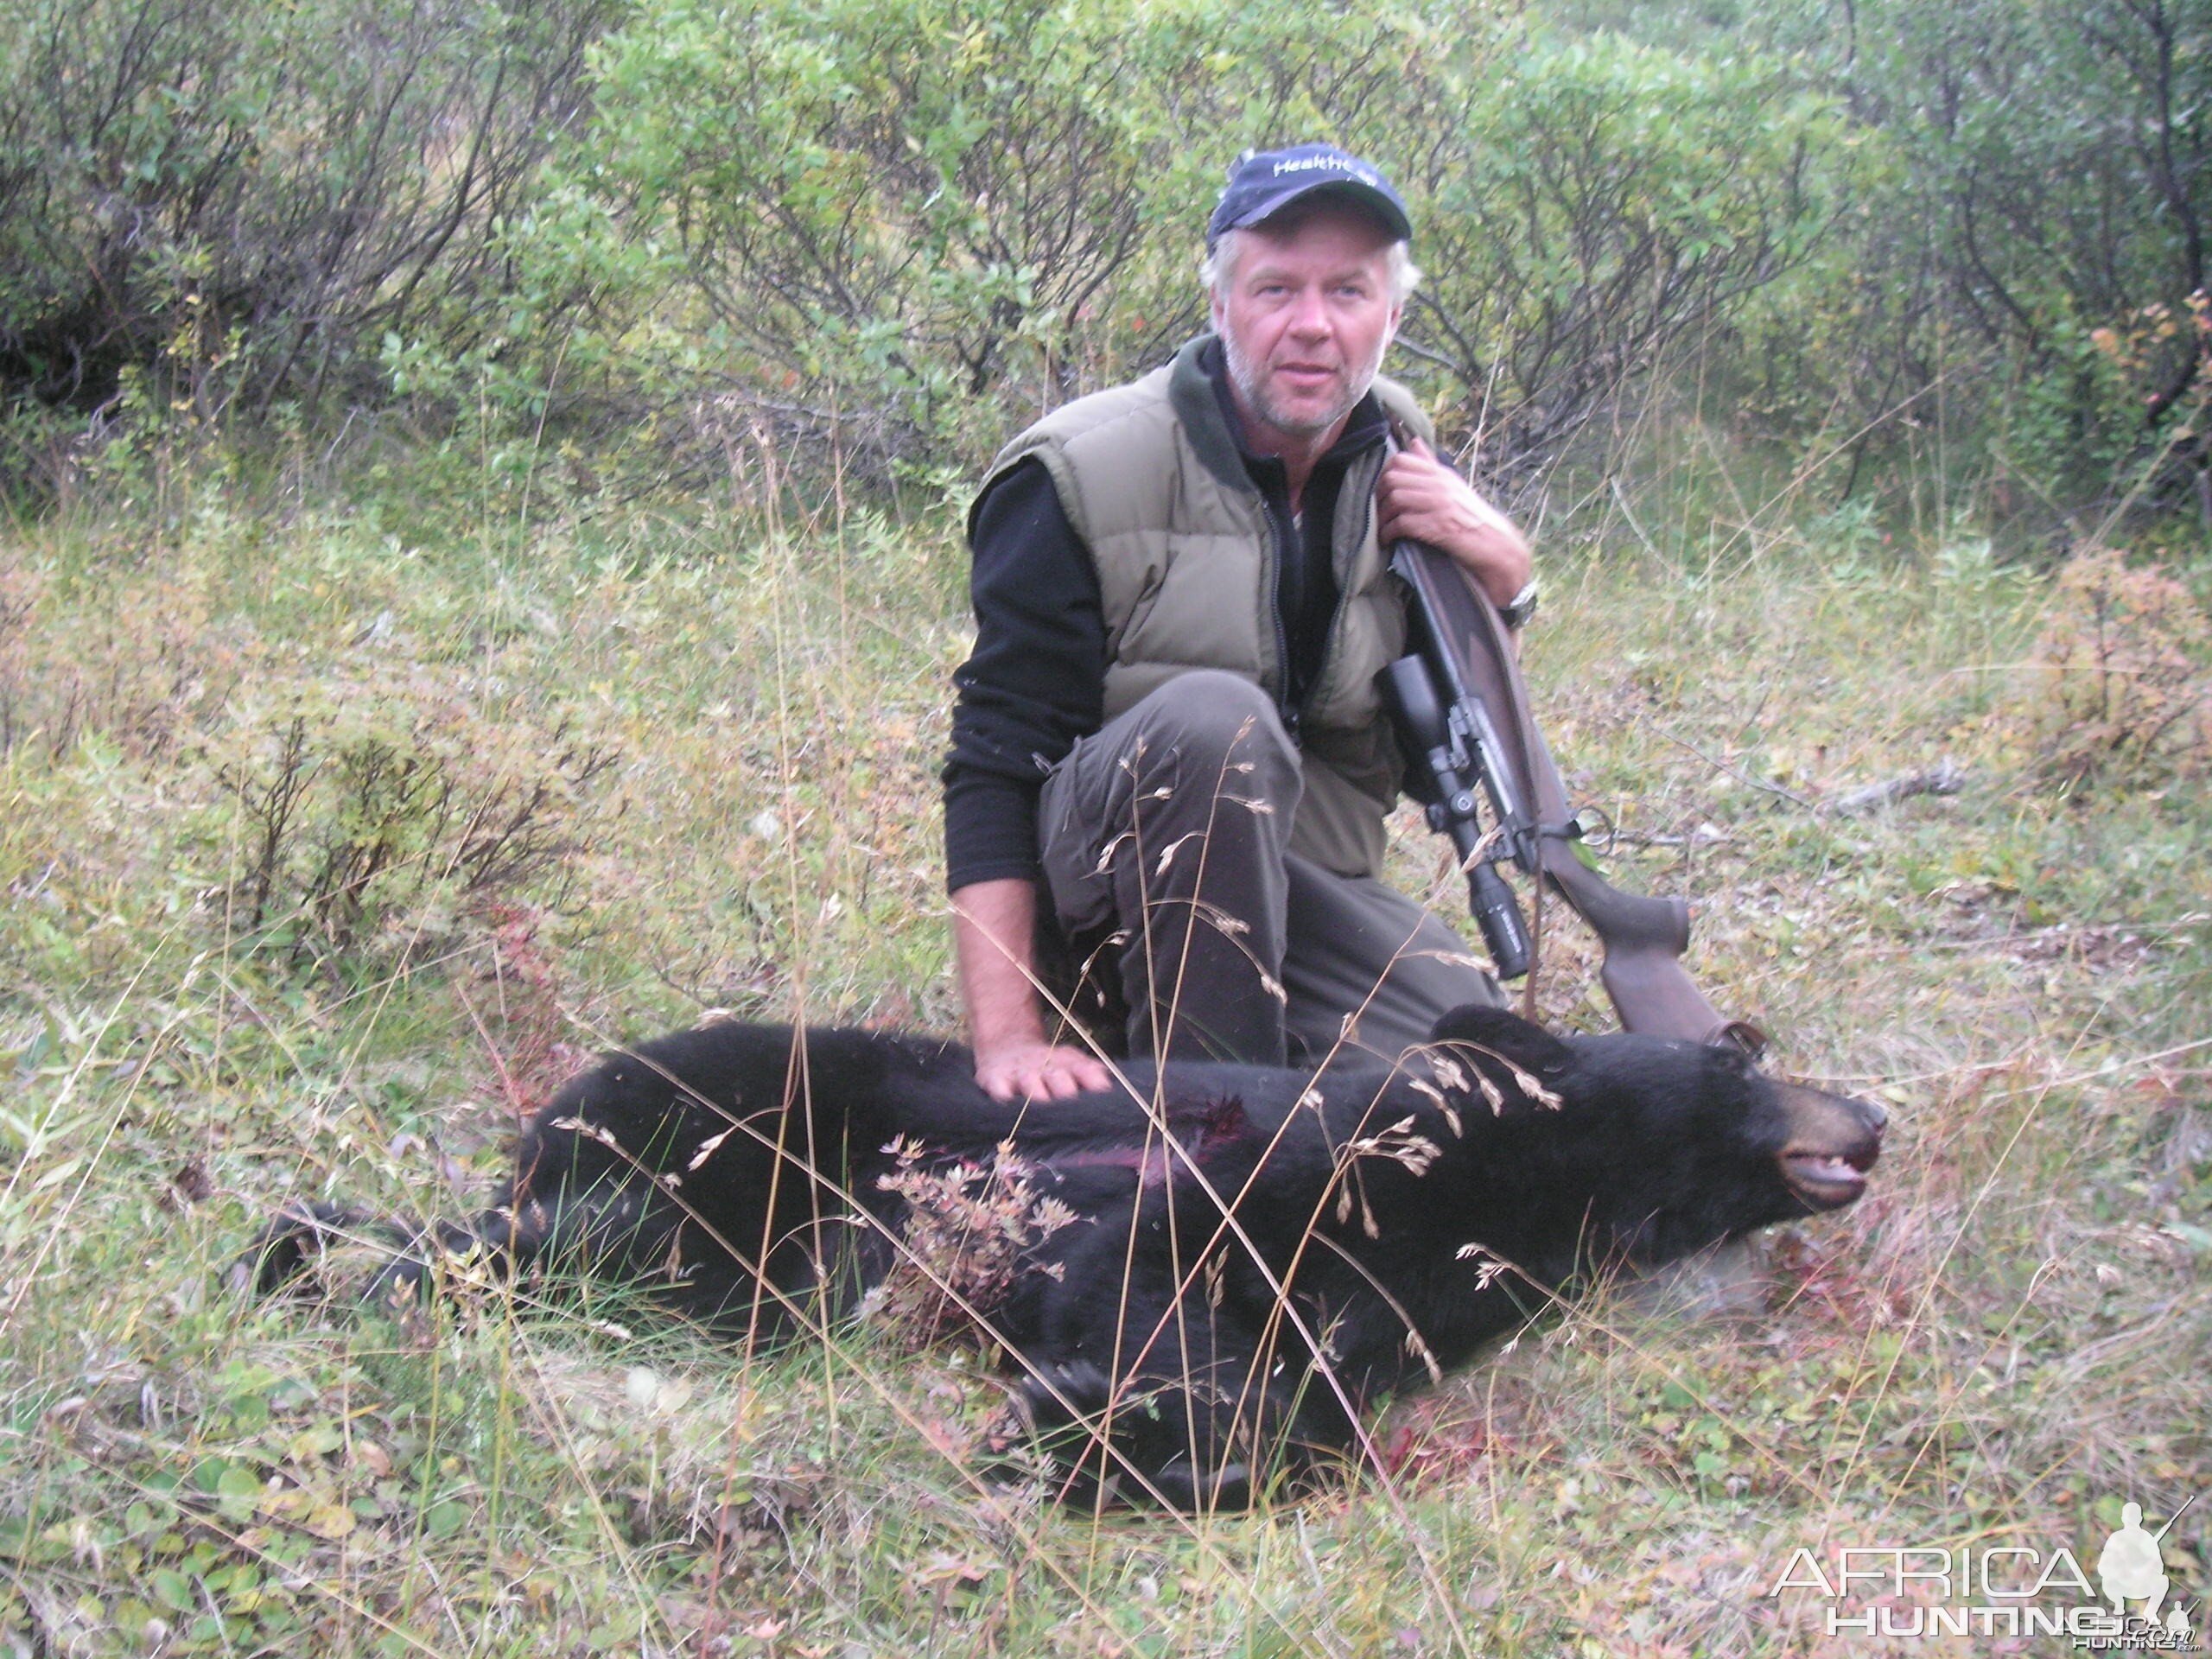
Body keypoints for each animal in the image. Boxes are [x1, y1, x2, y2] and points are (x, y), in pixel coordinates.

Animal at [254, 1008, 1885, 1513]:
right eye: (1740, 1056)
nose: (1871, 1116)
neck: (1526, 1179)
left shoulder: (1422, 1289)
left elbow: (1323, 1396)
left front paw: (1128, 1437)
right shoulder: (1283, 1164)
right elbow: (1134, 1259)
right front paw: (1081, 1411)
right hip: (744, 1129)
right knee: (574, 1242)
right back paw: (313, 1256)